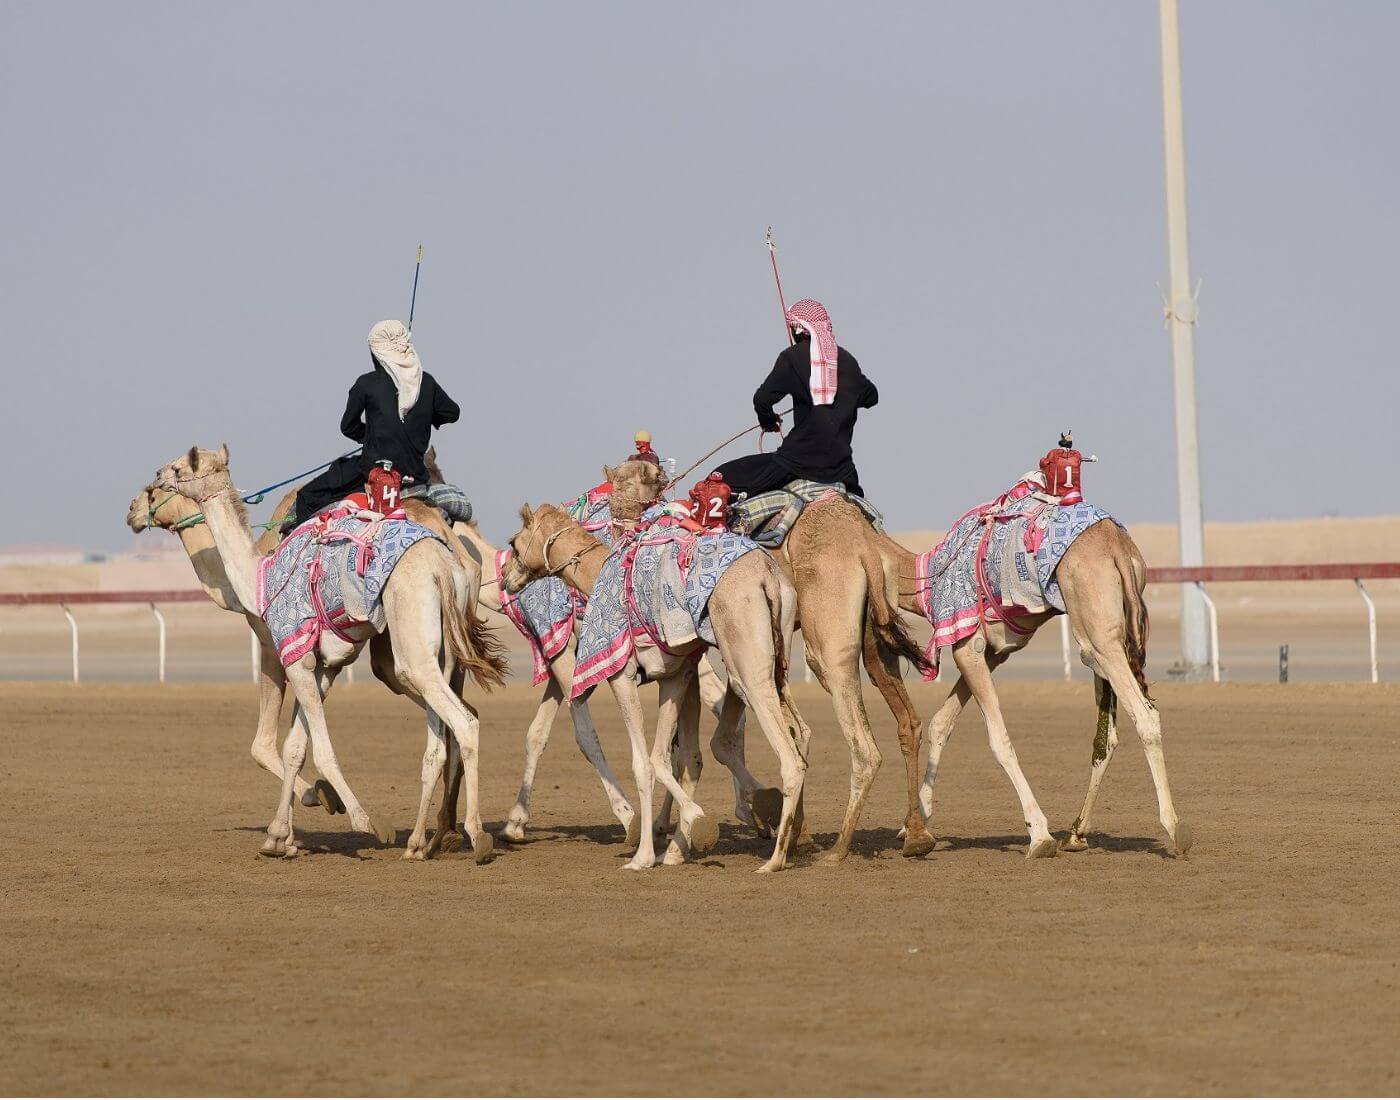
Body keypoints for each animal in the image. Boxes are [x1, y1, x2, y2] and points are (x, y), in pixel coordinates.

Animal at [156, 442, 506, 862]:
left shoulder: (293, 656)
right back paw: (423, 843)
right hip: (443, 652)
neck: (258, 578)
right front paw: (278, 837)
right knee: (445, 733)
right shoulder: (323, 667)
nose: (154, 482)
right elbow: (295, 746)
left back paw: (473, 836)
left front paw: (366, 822)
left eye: (179, 468)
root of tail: (444, 563)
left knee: (462, 722)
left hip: (412, 653)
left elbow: (316, 749)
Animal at [504, 501, 812, 867]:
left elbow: (643, 763)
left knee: (788, 756)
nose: (506, 578)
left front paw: (644, 855)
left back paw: (774, 859)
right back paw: (788, 833)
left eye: (514, 543)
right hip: (778, 657)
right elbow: (672, 757)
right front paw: (683, 839)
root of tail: (767, 576)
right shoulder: (675, 675)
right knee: (797, 732)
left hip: (746, 663)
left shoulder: (621, 673)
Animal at [610, 459, 929, 862]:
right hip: (875, 639)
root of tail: (866, 546)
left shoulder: (700, 655)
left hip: (824, 641)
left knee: (864, 746)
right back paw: (915, 835)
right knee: (909, 723)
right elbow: (744, 733)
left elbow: (693, 745)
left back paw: (837, 849)